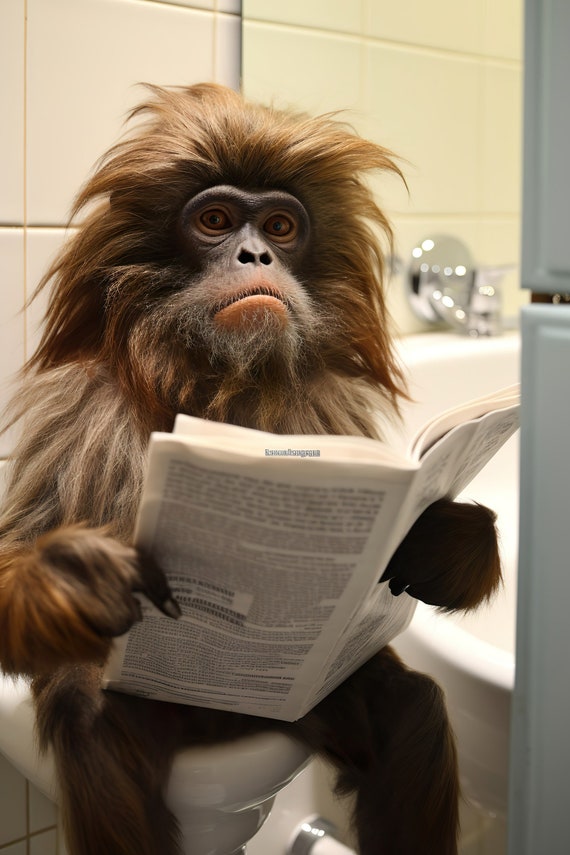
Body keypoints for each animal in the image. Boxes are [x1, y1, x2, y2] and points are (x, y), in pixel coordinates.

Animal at [0, 83, 501, 855]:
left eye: (279, 224)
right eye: (214, 220)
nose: (255, 252)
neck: (215, 386)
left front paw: (447, 539)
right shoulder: (78, 410)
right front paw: (75, 577)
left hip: (295, 708)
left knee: (406, 706)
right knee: (94, 724)